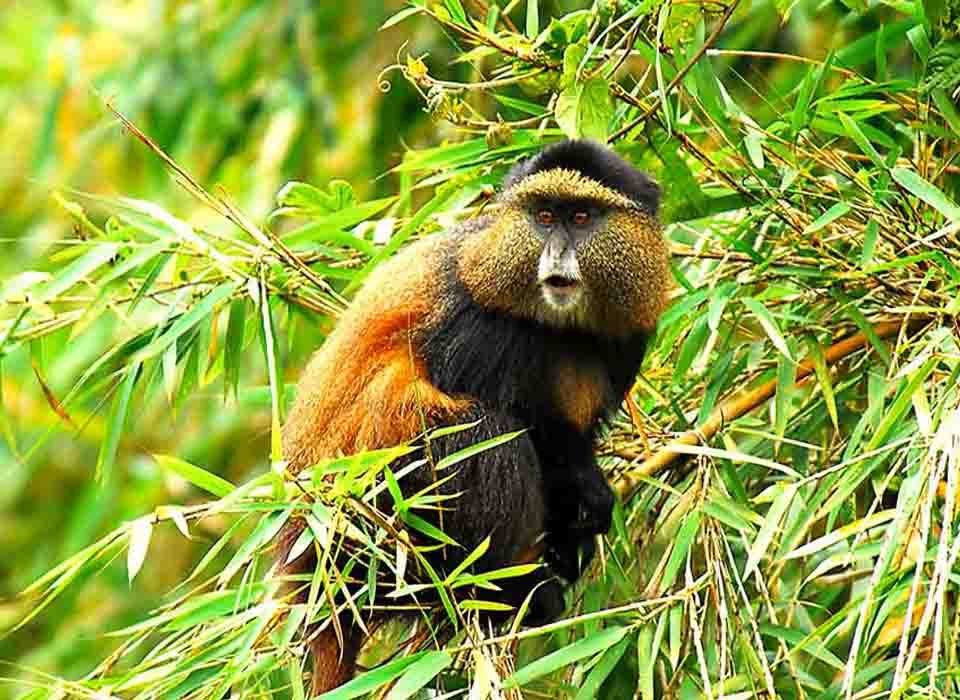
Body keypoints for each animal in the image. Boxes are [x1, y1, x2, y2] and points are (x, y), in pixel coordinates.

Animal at [278, 139, 670, 694]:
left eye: (581, 217)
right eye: (543, 216)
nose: (556, 254)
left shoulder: (629, 333)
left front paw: (576, 530)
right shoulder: (477, 324)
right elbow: (531, 432)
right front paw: (587, 499)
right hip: (373, 527)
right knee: (484, 432)